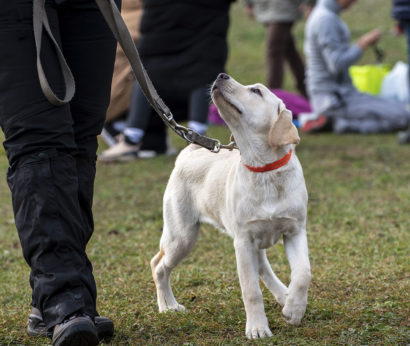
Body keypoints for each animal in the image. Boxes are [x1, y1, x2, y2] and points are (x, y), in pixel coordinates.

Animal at [151, 73, 310, 340]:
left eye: (256, 91)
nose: (221, 75)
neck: (263, 170)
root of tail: (188, 153)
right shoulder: (243, 241)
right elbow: (251, 291)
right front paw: (257, 328)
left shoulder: (294, 230)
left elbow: (303, 273)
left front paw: (294, 310)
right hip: (182, 236)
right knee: (158, 265)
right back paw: (168, 306)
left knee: (263, 266)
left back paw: (284, 295)